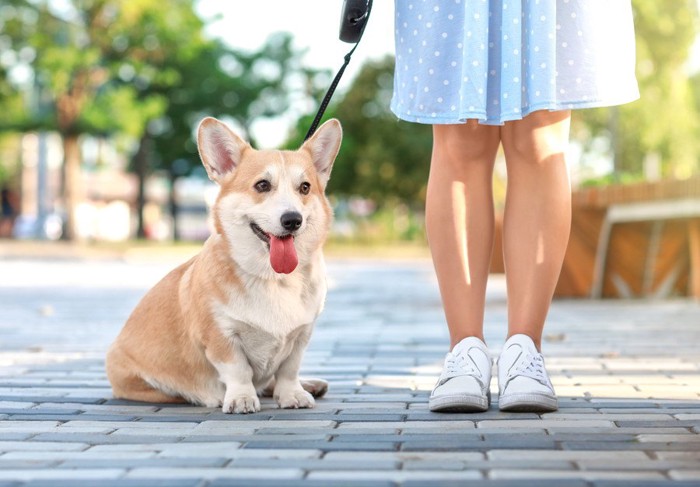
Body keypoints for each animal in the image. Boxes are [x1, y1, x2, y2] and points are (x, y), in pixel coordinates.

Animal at [106, 116, 342, 414]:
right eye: (262, 185)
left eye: (305, 188)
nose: (292, 220)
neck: (273, 278)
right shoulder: (221, 336)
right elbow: (238, 371)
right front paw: (241, 398)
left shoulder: (300, 336)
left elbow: (289, 370)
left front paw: (292, 395)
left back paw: (309, 385)